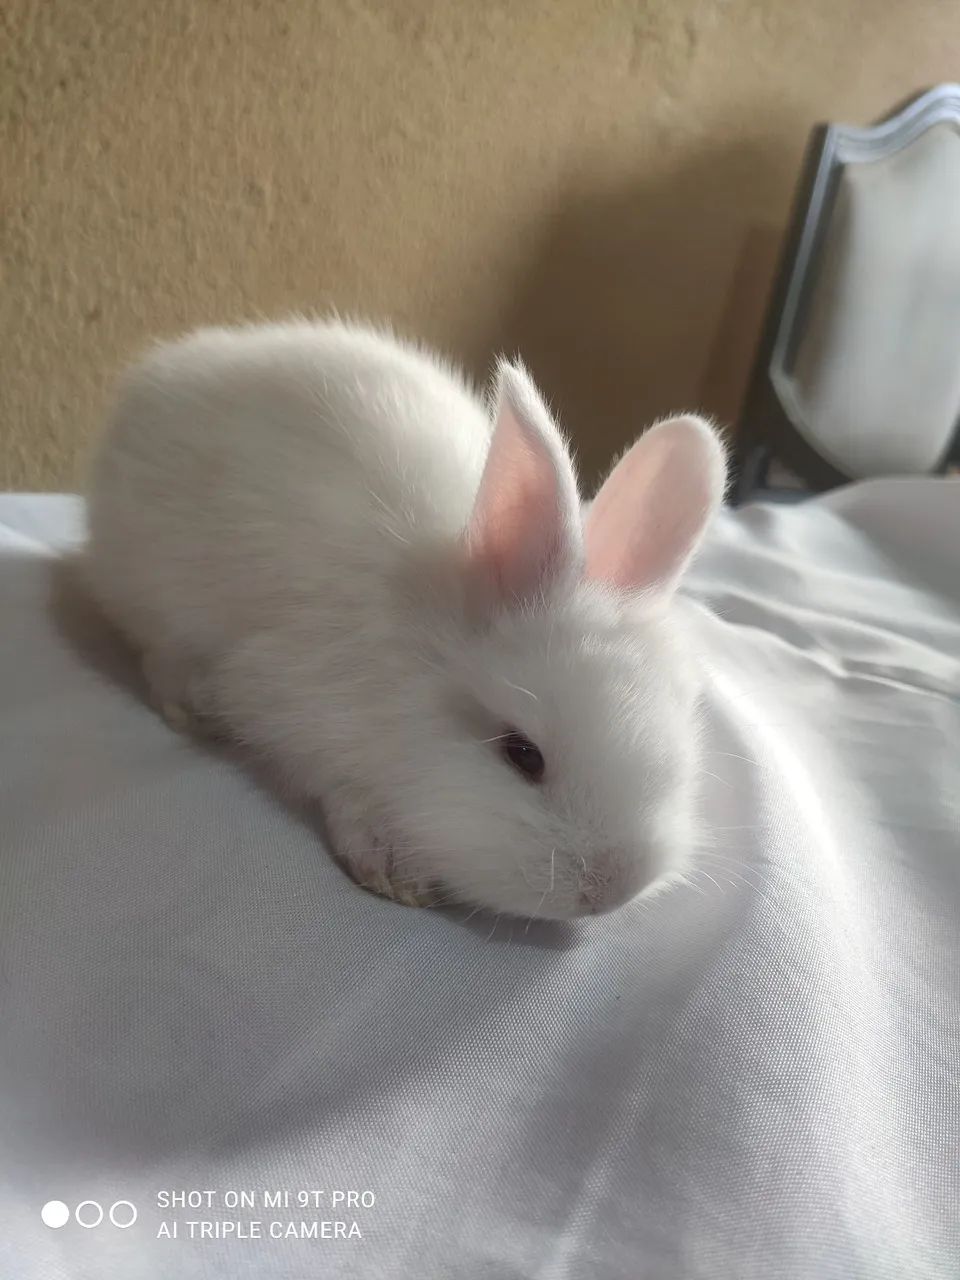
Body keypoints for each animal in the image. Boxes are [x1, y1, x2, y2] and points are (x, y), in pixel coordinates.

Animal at [82, 318, 727, 919]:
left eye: (685, 721)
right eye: (521, 753)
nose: (613, 890)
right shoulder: (287, 704)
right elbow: (337, 784)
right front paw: (390, 865)